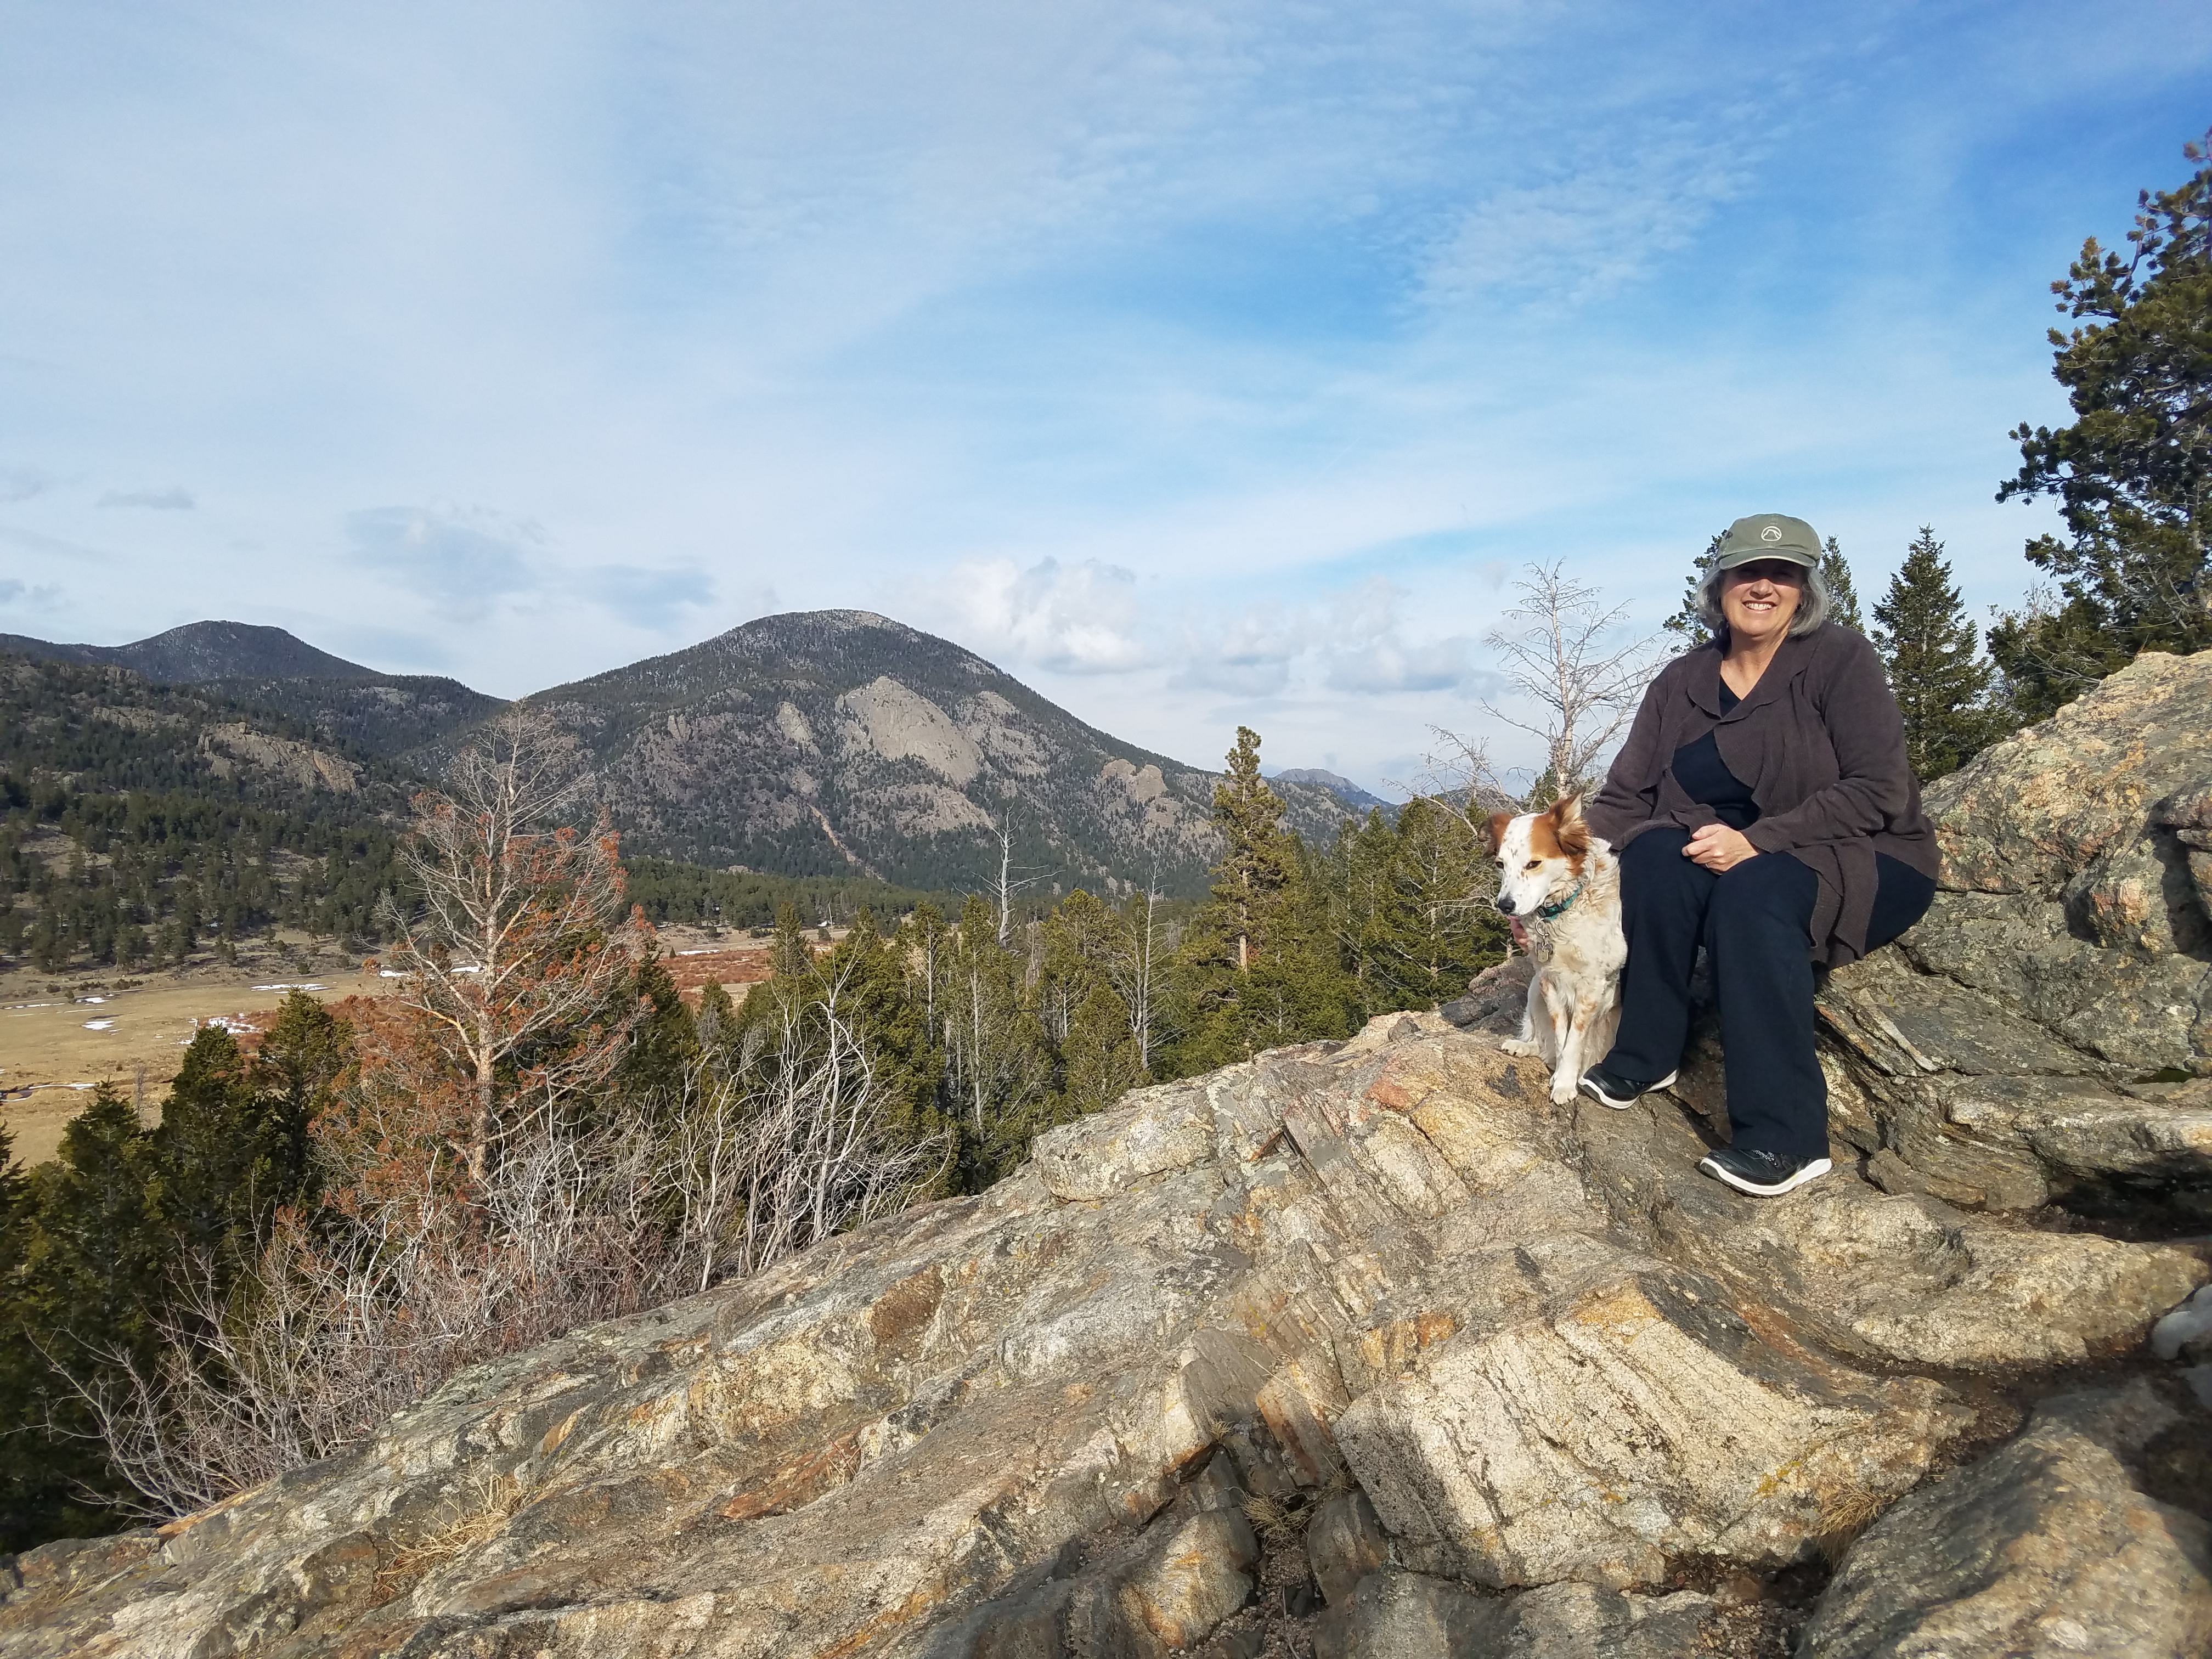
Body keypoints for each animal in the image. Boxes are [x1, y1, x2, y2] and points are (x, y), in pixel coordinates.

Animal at [1486, 792, 1628, 1106]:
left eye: (1533, 864)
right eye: (1501, 864)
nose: (1505, 906)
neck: (1561, 909)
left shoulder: (1591, 987)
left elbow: (1573, 1041)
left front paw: (1564, 1083)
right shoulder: (1549, 980)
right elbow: (1561, 1035)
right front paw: (1560, 1076)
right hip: (1533, 988)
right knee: (1545, 1046)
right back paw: (1524, 1047)